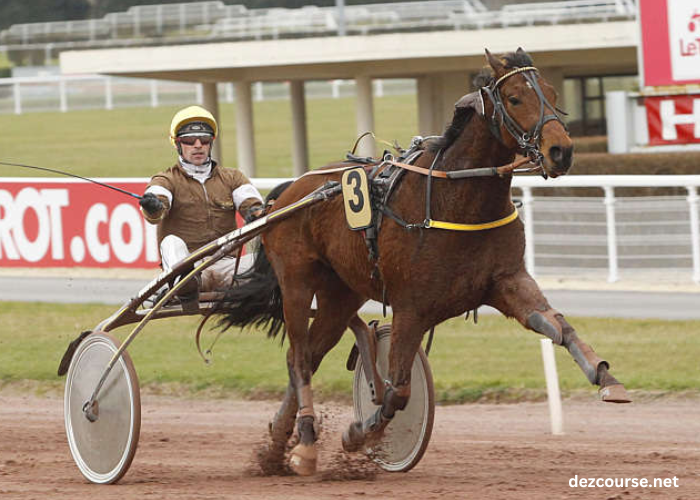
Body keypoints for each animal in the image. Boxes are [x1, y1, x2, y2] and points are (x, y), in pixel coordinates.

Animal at [221, 49, 632, 476]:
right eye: (516, 98)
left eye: (551, 93)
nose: (561, 151)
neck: (457, 199)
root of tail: (289, 193)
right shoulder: (411, 307)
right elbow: (397, 392)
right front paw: (358, 433)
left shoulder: (507, 281)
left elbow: (558, 327)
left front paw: (607, 378)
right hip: (298, 282)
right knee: (299, 358)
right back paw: (304, 443)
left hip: (341, 293)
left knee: (309, 355)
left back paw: (277, 448)